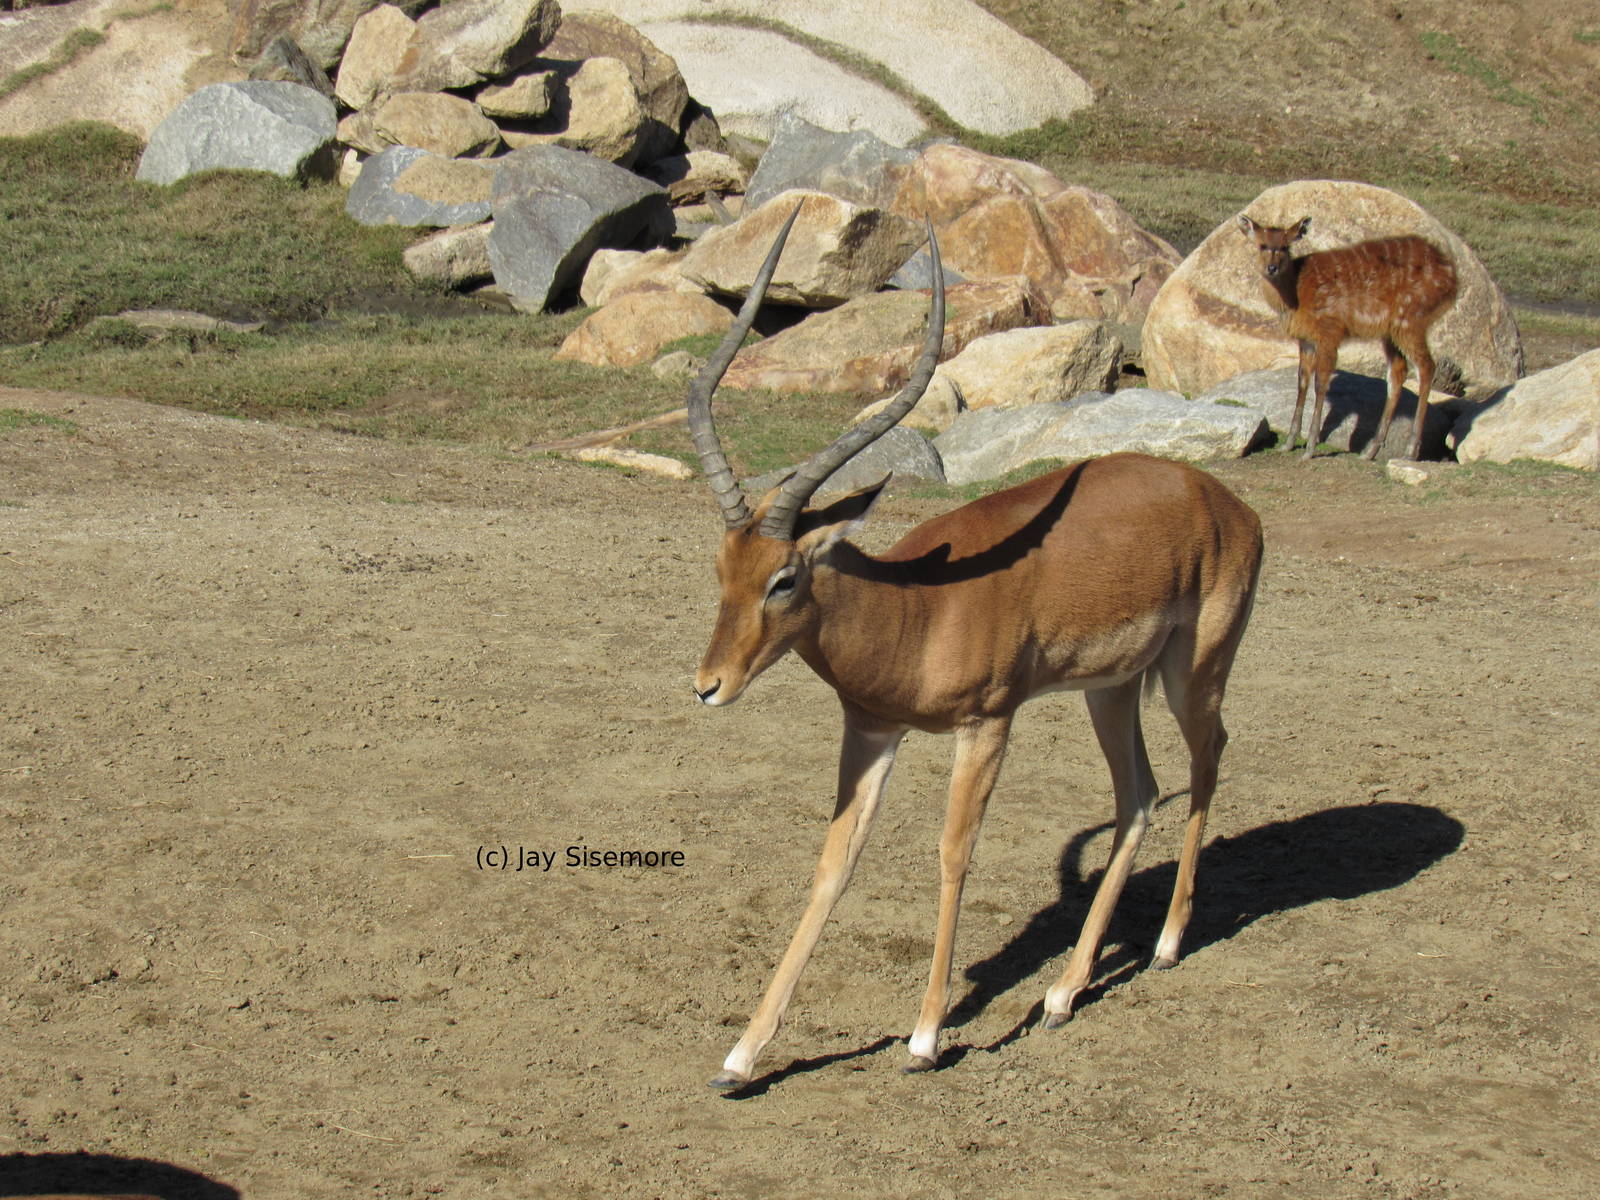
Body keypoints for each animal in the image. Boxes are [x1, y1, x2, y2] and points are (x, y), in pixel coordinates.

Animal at [687, 207, 1264, 1089]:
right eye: (722, 567)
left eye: (783, 578)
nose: (708, 684)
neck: (918, 609)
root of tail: (1228, 504)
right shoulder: (872, 729)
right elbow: (833, 861)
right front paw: (742, 1056)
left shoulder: (987, 725)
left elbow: (953, 854)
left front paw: (925, 1038)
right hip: (1111, 688)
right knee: (1139, 796)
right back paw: (1061, 995)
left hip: (1191, 670)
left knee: (1210, 757)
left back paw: (1166, 945)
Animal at [1238, 214, 1459, 462]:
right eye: (1262, 245)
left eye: (1285, 246)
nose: (1272, 268)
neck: (1296, 296)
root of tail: (1452, 278)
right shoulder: (1306, 339)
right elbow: (1302, 381)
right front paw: (1287, 444)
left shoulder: (1329, 331)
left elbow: (1320, 382)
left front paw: (1309, 449)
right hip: (1391, 331)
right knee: (1398, 372)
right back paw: (1369, 451)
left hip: (1411, 320)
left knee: (1426, 366)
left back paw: (1410, 452)